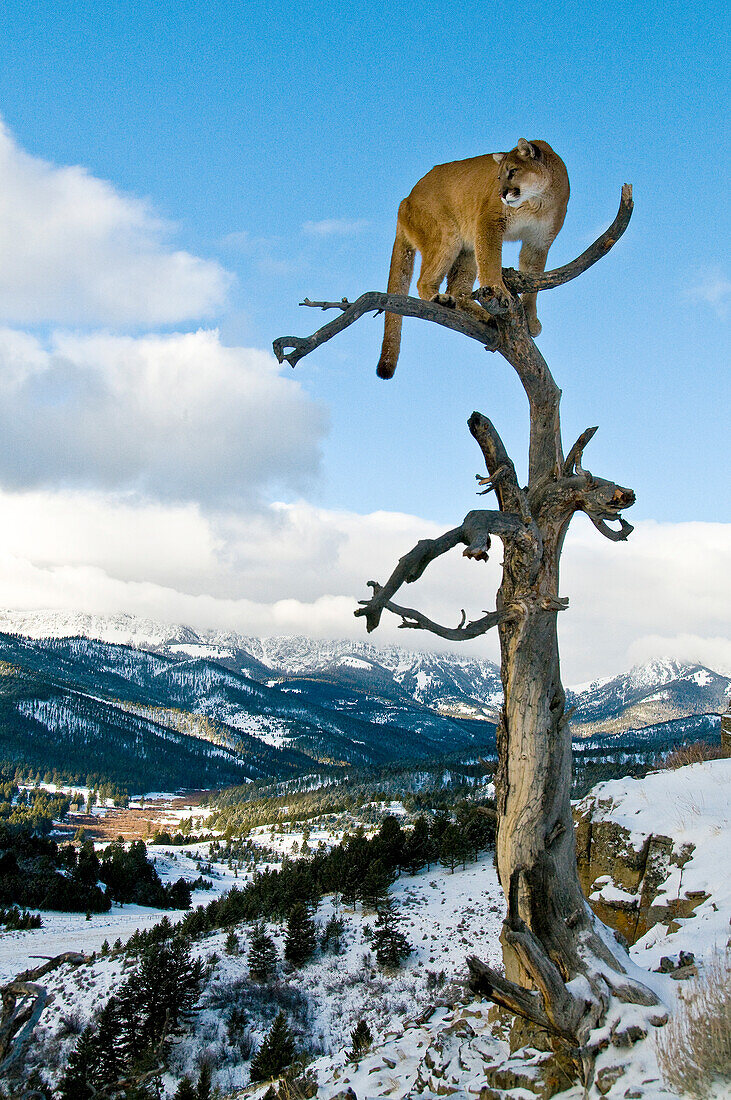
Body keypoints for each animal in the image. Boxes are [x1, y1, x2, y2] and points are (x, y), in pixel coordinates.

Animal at [375, 139, 571, 380]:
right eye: (498, 177)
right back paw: (440, 299)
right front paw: (499, 290)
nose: (502, 194)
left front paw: (530, 318)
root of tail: (405, 199)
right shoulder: (489, 222)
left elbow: (533, 281)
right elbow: (490, 260)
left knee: (458, 290)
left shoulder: (538, 242)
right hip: (447, 235)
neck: (536, 202)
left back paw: (484, 316)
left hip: (466, 250)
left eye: (513, 171)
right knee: (424, 281)